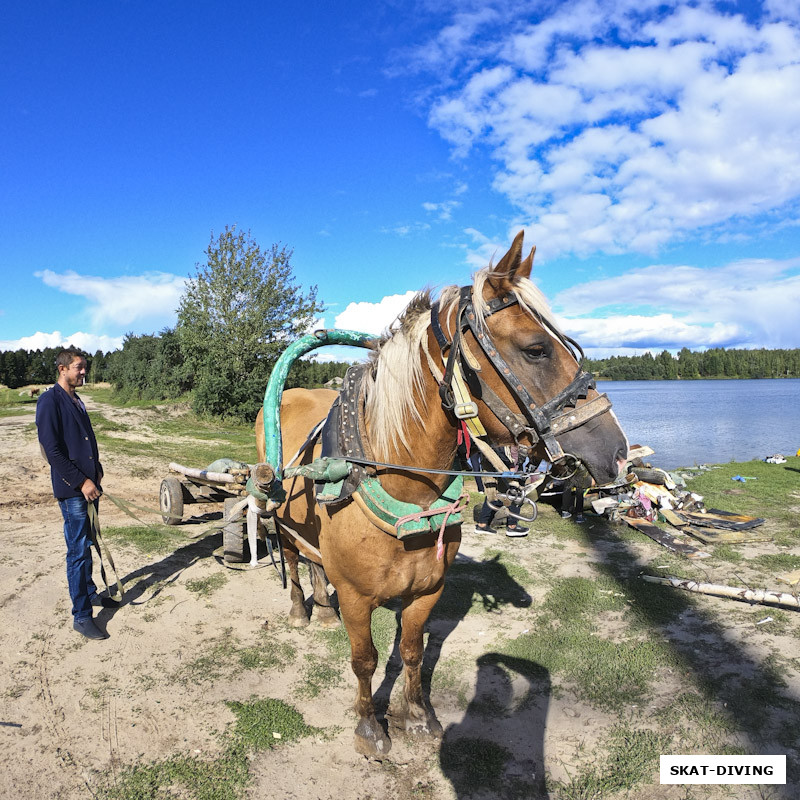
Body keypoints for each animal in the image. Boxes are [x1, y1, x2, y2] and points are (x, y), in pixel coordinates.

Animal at [253, 231, 628, 756]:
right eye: (536, 349)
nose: (617, 452)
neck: (404, 490)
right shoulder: (357, 598)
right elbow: (365, 659)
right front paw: (370, 727)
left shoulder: (428, 590)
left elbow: (412, 652)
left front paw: (418, 715)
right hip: (277, 510)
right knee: (290, 555)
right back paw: (300, 611)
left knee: (313, 561)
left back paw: (323, 609)